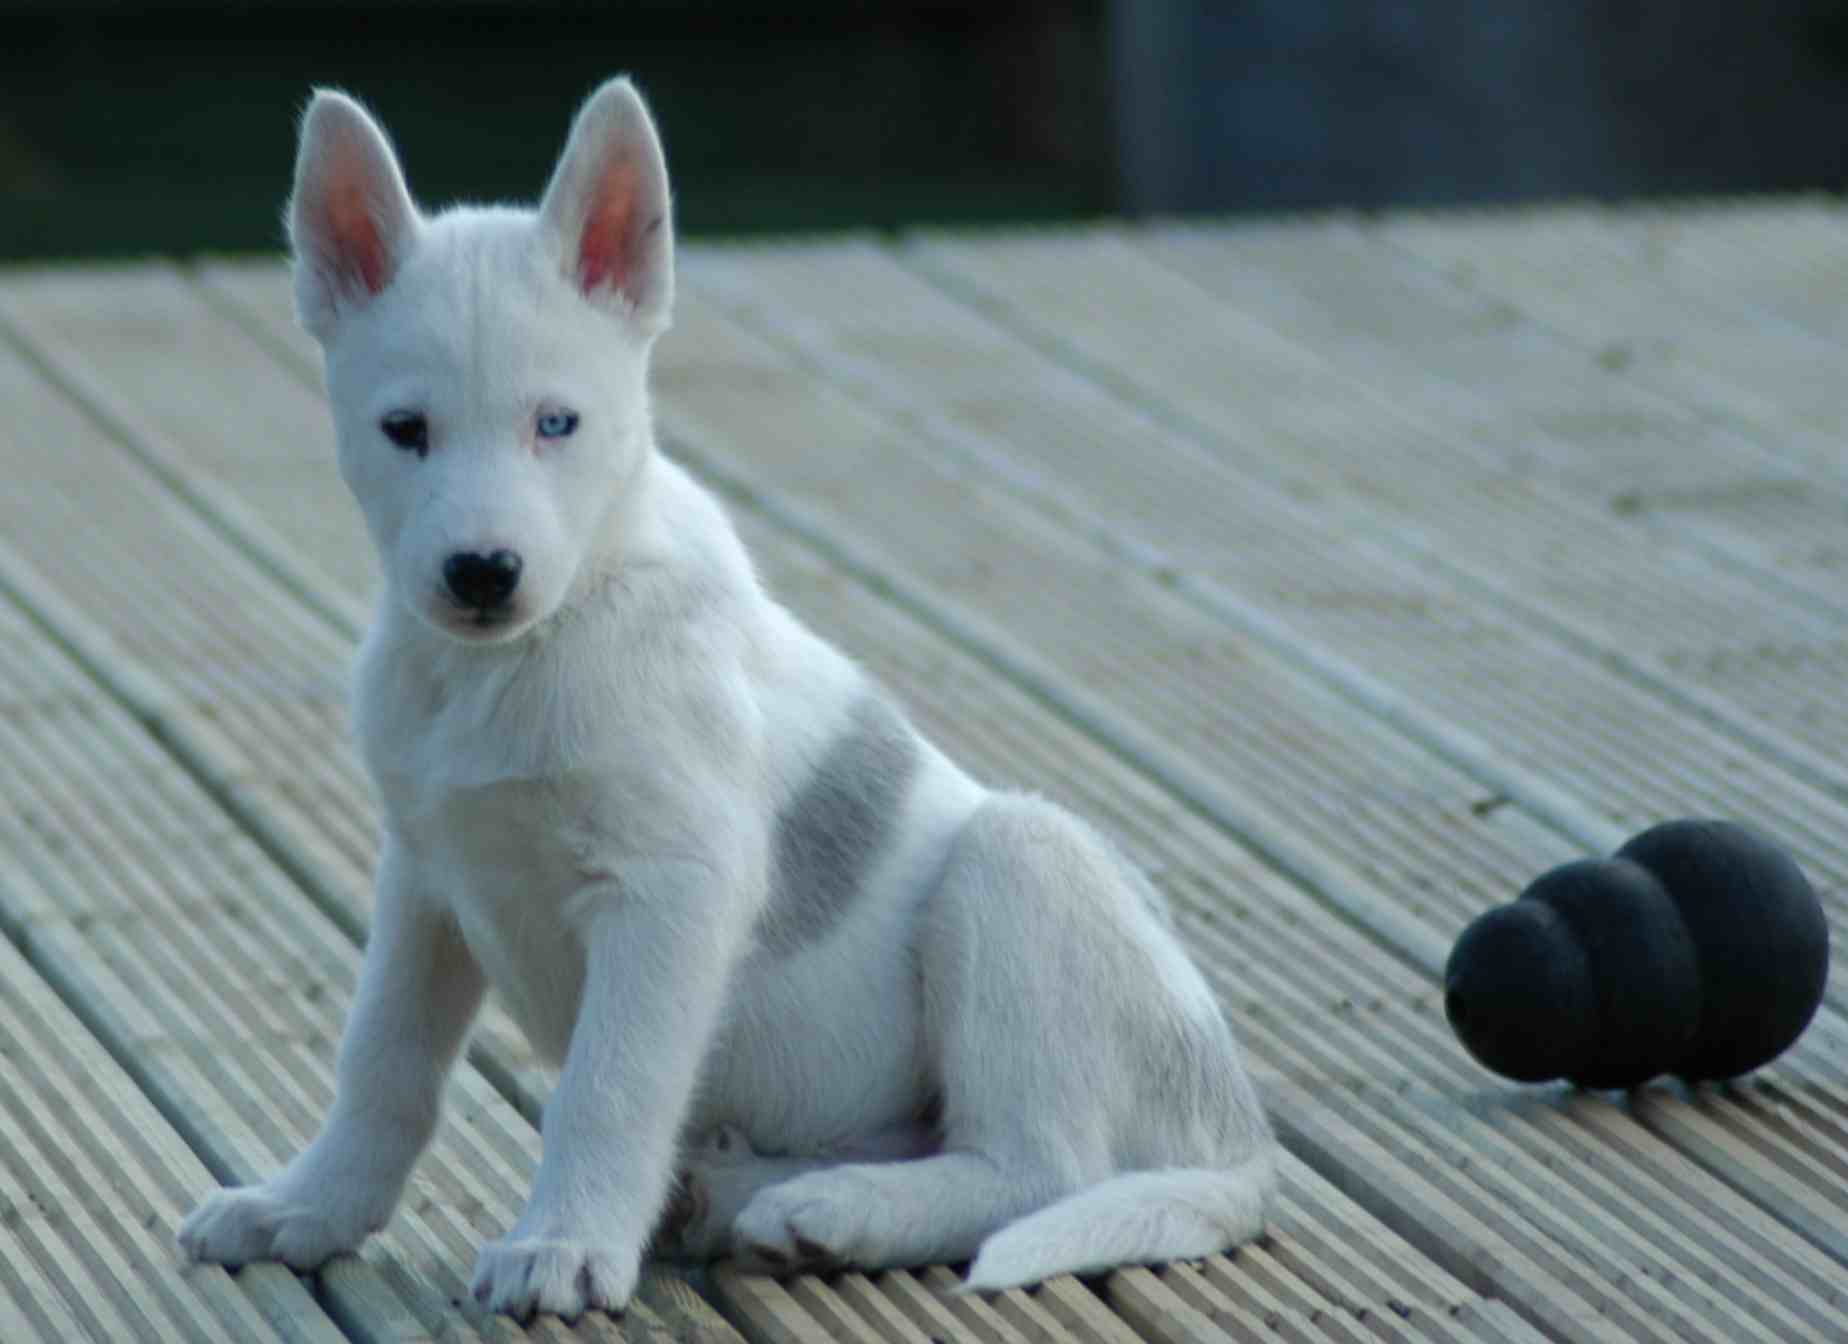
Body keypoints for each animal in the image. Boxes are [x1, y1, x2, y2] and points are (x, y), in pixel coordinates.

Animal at [176, 79, 1271, 1316]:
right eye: (404, 431)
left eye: (557, 423)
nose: (482, 573)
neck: (529, 652)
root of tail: (1239, 1139)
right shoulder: (427, 881)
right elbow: (382, 1066)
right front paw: (308, 1206)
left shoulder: (672, 893)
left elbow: (607, 1088)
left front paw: (563, 1242)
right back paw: (742, 1197)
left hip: (1021, 864)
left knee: (1037, 1166)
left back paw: (837, 1211)